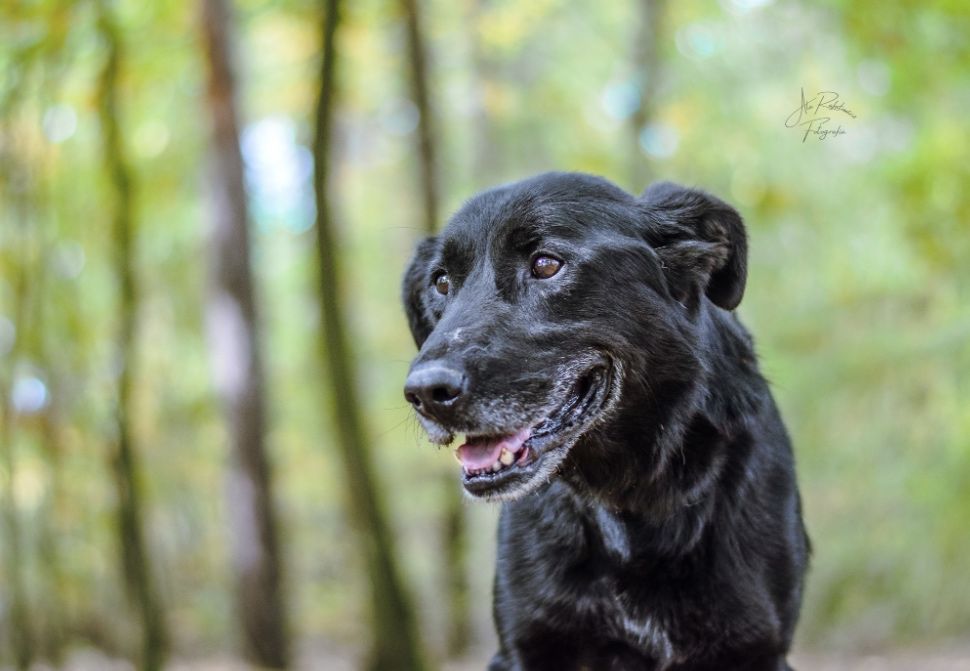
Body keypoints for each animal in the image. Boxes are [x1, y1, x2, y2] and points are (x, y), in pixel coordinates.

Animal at [400, 173, 808, 671]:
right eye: (441, 282)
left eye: (546, 264)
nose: (424, 392)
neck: (631, 500)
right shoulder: (526, 646)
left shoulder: (756, 648)